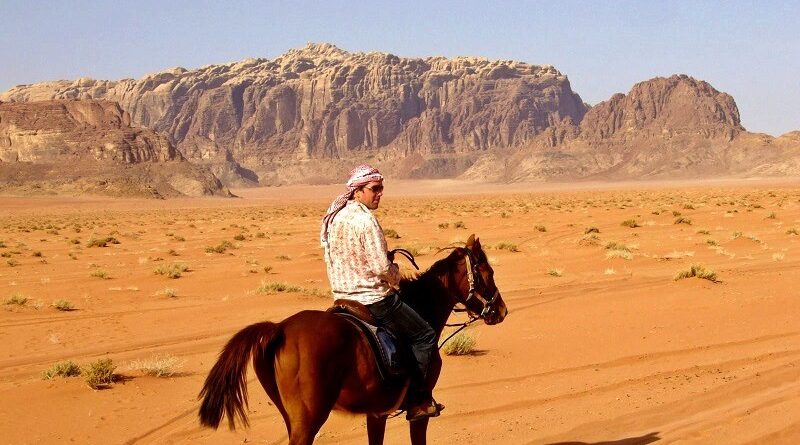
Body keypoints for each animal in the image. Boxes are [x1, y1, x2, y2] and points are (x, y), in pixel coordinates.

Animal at [200, 234, 510, 442]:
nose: (501, 310)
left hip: (290, 416)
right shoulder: (419, 414)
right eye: (489, 272)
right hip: (308, 420)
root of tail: (279, 328)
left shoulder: (377, 413)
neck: (422, 306)